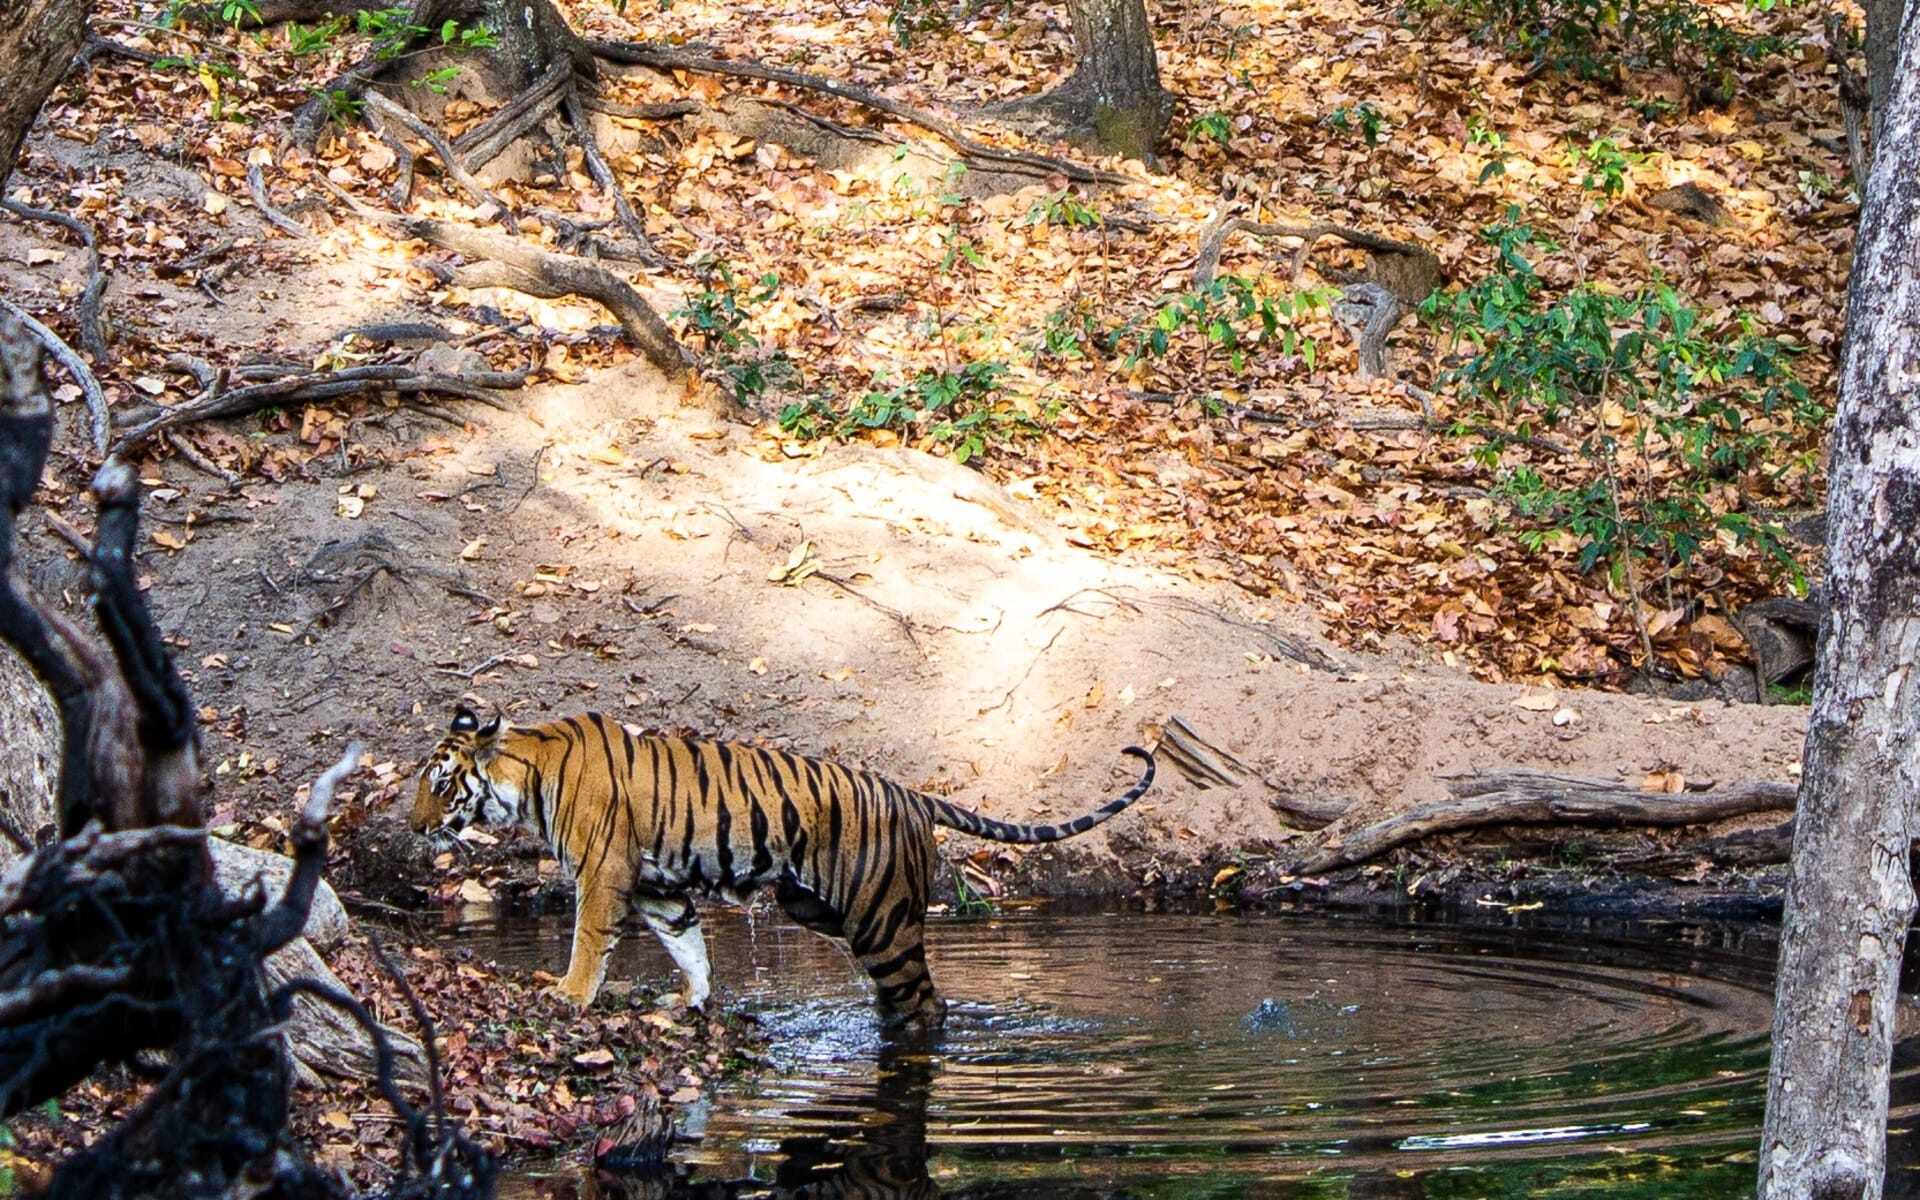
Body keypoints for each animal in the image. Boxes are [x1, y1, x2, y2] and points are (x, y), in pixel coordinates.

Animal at [408, 706, 1152, 1021]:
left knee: (925, 1001)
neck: (525, 775)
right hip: (820, 908)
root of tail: (910, 792)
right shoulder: (653, 884)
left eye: (439, 783)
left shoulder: (603, 873)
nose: (412, 826)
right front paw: (693, 1000)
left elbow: (590, 940)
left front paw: (568, 994)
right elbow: (688, 944)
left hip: (881, 922)